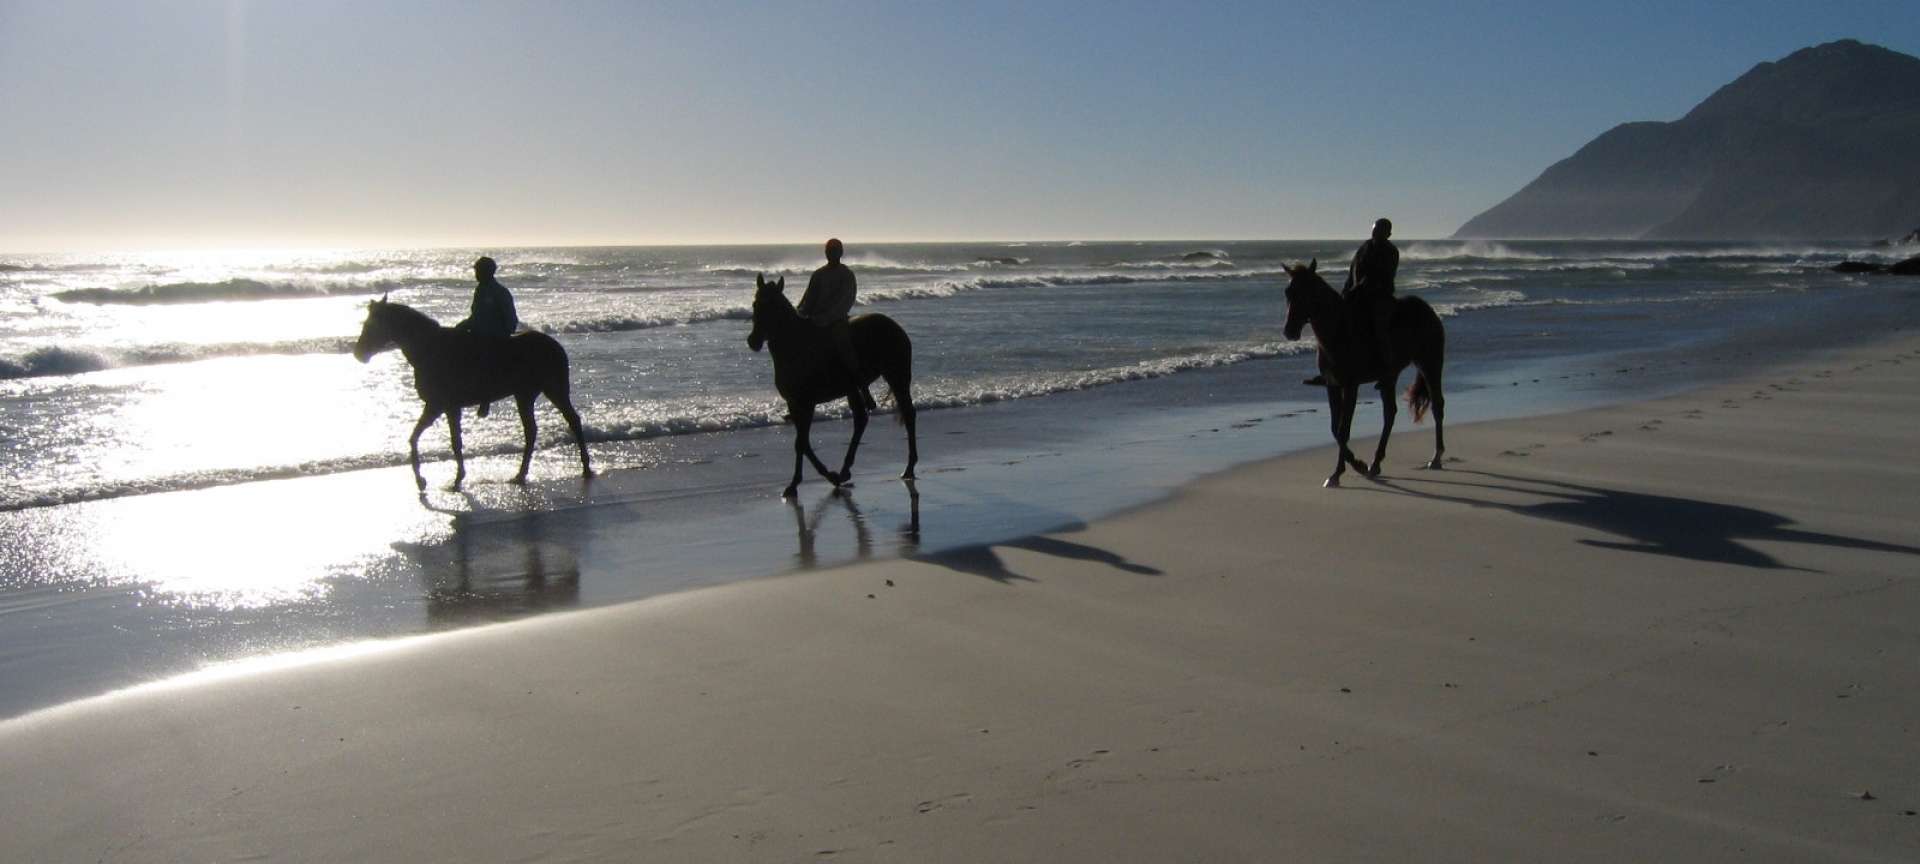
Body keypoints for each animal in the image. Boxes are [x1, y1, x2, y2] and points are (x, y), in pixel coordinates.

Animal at [353, 297, 591, 489]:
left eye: (369, 325)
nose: (358, 353)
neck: (429, 349)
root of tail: (555, 345)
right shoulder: (437, 407)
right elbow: (415, 439)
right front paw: (423, 480)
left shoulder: (443, 406)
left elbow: (452, 441)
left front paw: (454, 478)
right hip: (525, 395)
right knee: (534, 430)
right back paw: (522, 474)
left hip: (553, 389)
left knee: (570, 420)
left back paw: (585, 467)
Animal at [744, 270, 917, 499]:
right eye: (755, 304)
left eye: (773, 306)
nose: (753, 341)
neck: (795, 345)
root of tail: (895, 327)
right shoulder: (795, 403)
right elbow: (803, 443)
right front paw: (825, 477)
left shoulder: (806, 403)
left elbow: (801, 443)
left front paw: (800, 482)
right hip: (853, 388)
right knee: (861, 419)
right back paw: (845, 470)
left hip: (897, 376)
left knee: (908, 414)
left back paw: (909, 467)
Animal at [1282, 257, 1443, 485]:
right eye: (1288, 292)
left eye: (1306, 292)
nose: (1289, 331)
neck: (1338, 332)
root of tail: (1428, 310)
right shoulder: (1332, 385)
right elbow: (1335, 428)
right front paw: (1357, 465)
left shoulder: (1351, 386)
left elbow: (1343, 430)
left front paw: (1338, 473)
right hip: (1390, 376)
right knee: (1390, 413)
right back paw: (1375, 464)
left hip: (1430, 364)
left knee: (1437, 406)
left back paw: (1436, 458)